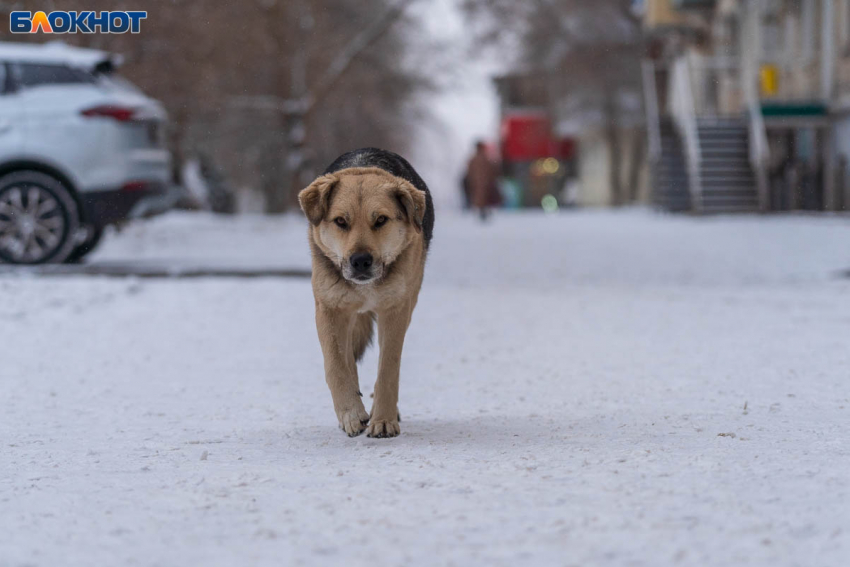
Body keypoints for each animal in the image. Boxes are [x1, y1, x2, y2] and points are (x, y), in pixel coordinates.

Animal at [296, 148, 430, 440]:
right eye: (340, 221)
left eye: (380, 220)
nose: (360, 261)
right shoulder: (330, 307)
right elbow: (336, 366)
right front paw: (351, 414)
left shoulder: (395, 308)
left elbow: (388, 368)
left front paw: (383, 420)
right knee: (348, 358)